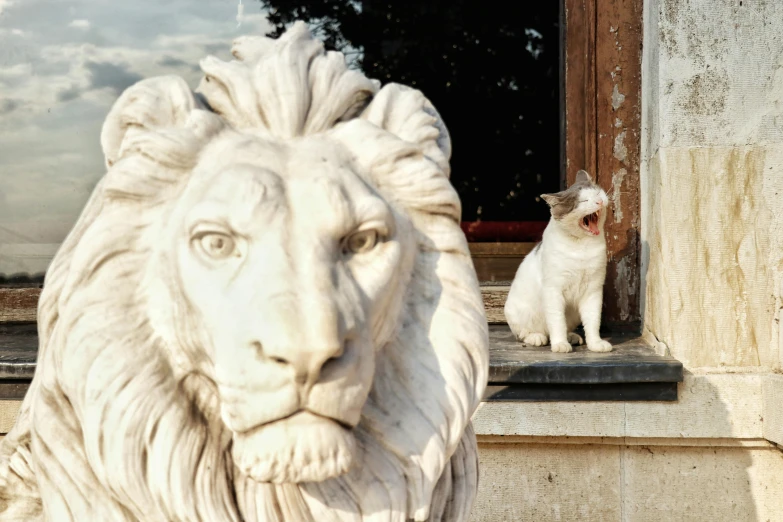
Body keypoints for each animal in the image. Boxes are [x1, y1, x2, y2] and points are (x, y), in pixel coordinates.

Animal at [506, 169, 616, 352]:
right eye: (584, 201)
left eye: (598, 193)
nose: (600, 201)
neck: (581, 246)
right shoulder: (553, 290)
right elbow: (557, 321)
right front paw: (560, 344)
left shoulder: (593, 290)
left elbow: (593, 321)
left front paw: (595, 344)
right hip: (518, 312)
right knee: (526, 333)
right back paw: (537, 337)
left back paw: (572, 337)